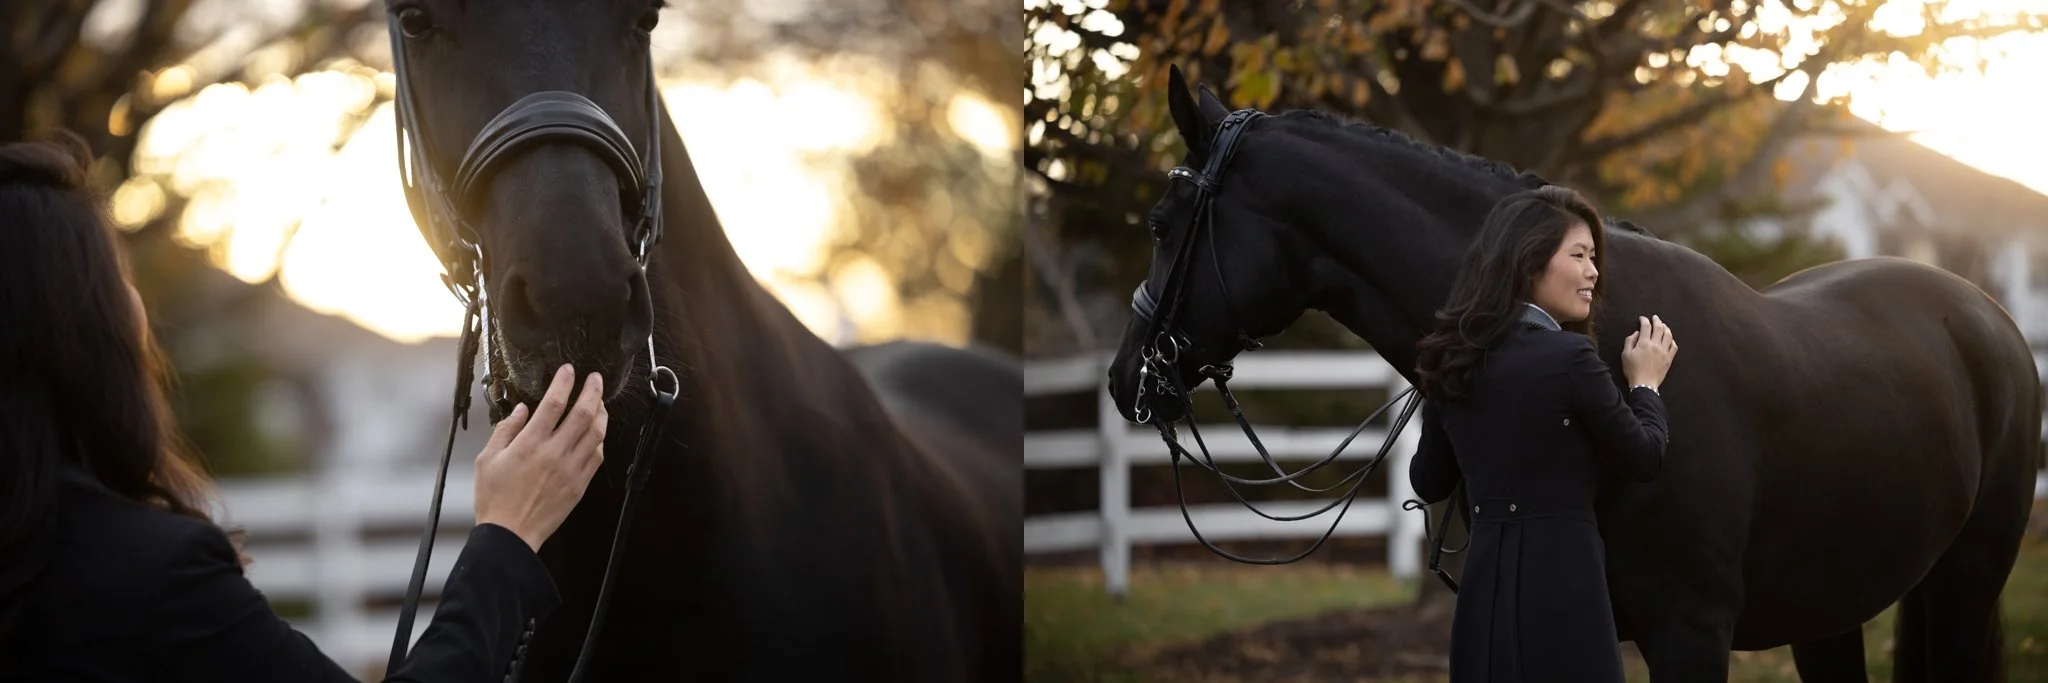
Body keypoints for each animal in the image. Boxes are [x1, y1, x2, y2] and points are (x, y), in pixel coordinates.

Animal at [1104, 66, 2039, 682]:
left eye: (1160, 222)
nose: (1124, 379)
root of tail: (1986, 314)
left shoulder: (1691, 630)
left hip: (1966, 580)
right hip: (1829, 608)